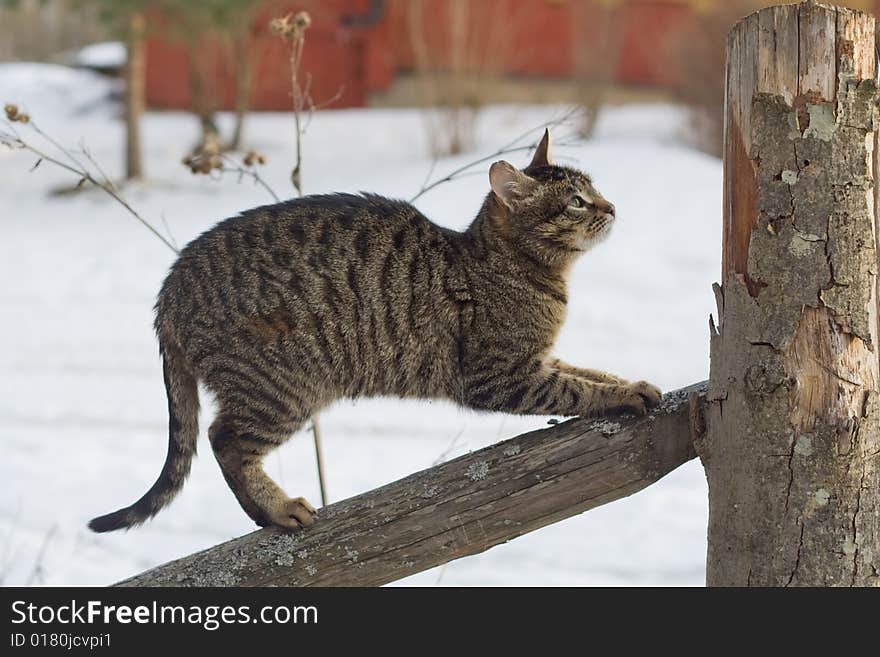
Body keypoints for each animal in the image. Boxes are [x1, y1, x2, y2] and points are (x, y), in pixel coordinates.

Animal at [89, 129, 664, 532]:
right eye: (576, 202)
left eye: (594, 189)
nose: (612, 206)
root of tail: (169, 290)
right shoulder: (500, 376)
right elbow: (575, 389)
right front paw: (619, 397)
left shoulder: (540, 359)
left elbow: (588, 371)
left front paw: (628, 382)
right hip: (284, 385)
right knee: (223, 439)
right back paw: (276, 511)